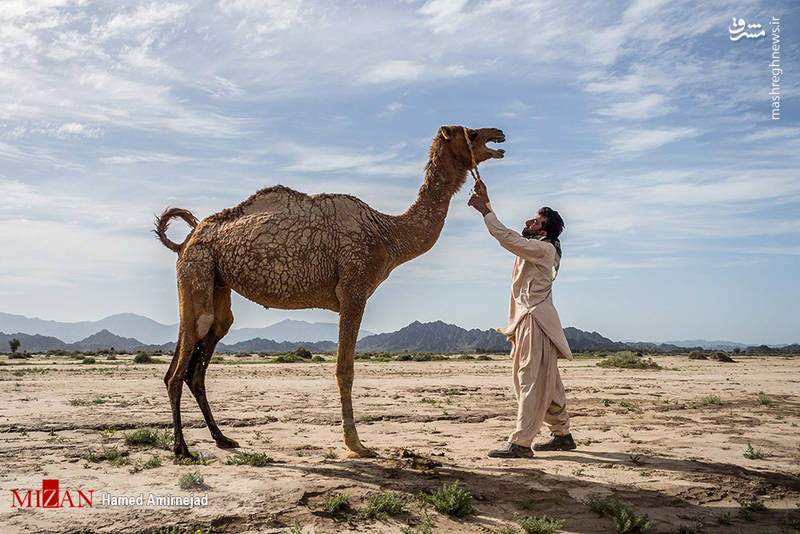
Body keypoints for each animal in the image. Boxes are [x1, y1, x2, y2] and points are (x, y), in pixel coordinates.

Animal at [155, 125, 506, 460]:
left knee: (204, 350)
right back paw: (182, 449)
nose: (499, 136)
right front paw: (357, 445)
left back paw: (222, 438)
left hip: (217, 282)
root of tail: (185, 241)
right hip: (197, 268)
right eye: (471, 132)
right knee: (183, 358)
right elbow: (344, 369)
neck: (387, 234)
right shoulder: (354, 290)